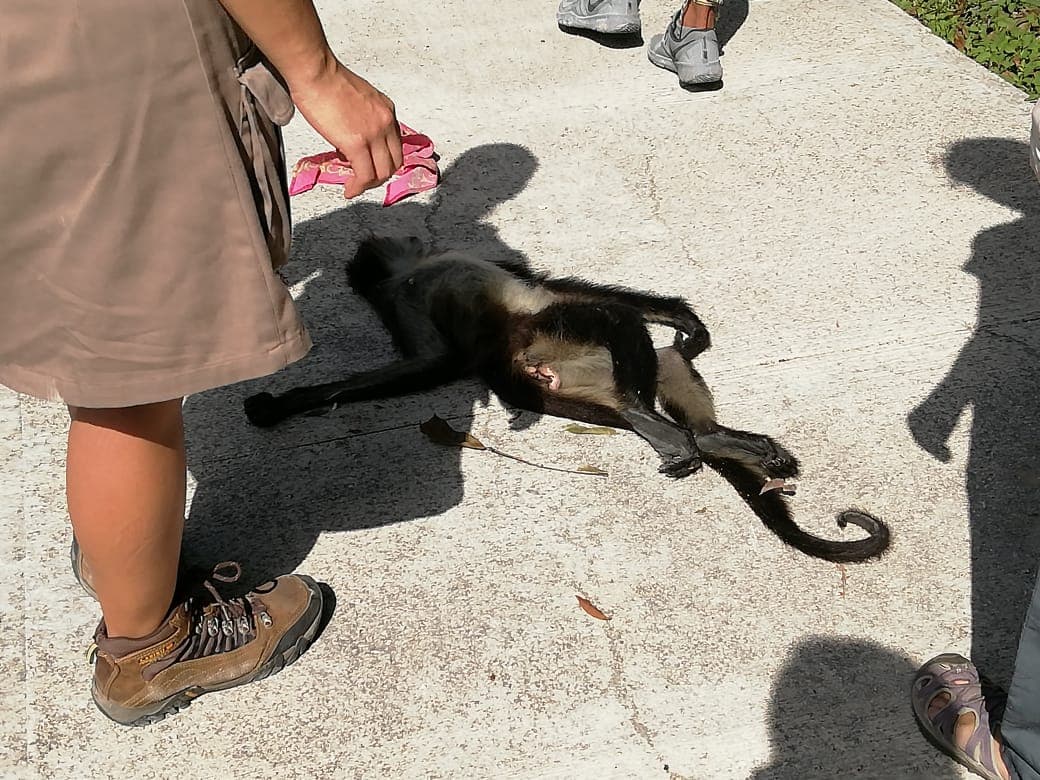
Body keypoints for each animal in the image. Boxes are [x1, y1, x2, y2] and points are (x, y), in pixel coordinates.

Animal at [244, 236, 889, 563]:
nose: (399, 236)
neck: (411, 270)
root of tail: (517, 362)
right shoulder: (400, 297)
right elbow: (436, 361)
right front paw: (284, 403)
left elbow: (538, 286)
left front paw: (685, 318)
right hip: (555, 339)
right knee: (612, 320)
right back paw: (668, 431)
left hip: (591, 367)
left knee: (658, 355)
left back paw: (703, 436)